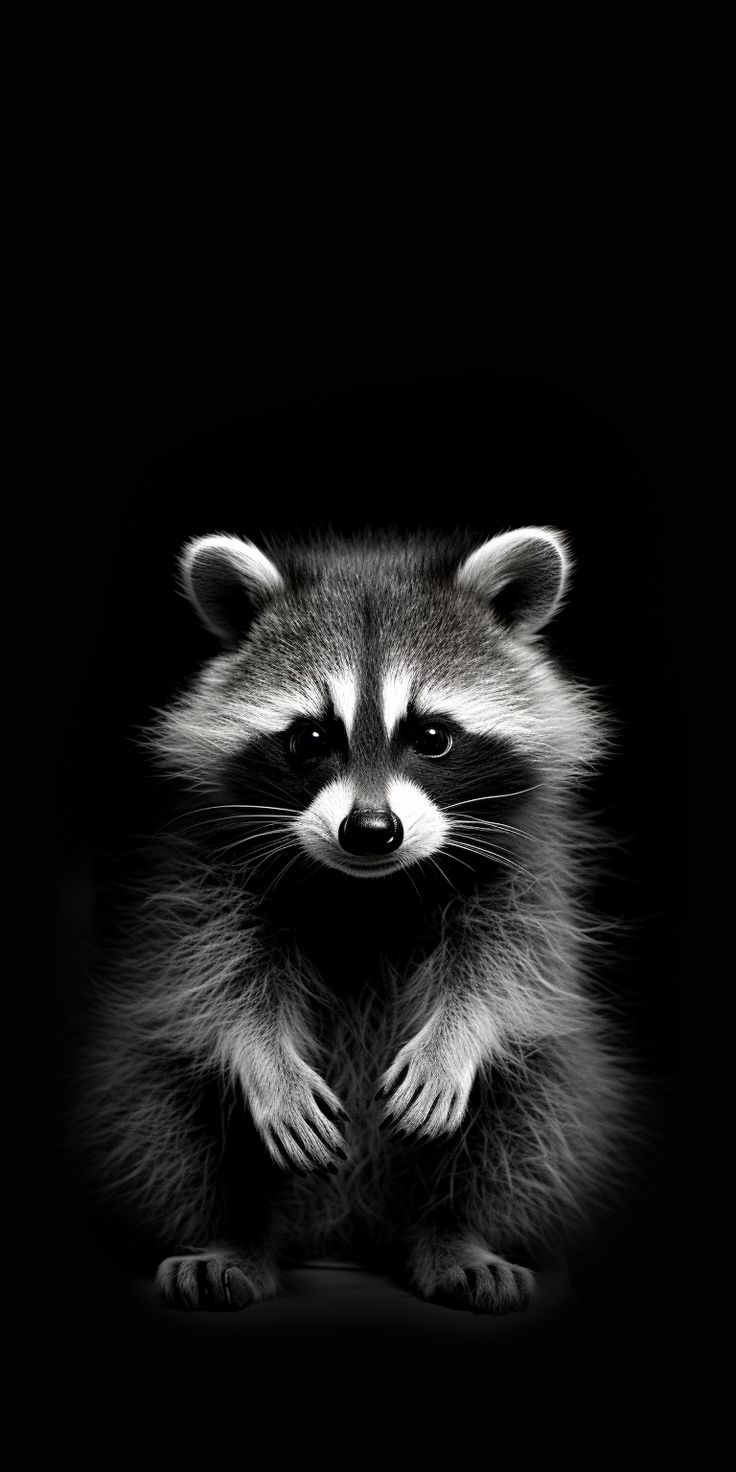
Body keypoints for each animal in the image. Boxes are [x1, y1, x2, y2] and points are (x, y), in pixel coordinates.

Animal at [82, 526, 633, 1315]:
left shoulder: (529, 862)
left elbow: (508, 969)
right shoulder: (209, 866)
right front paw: (263, 1057)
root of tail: (344, 1229)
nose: (371, 832)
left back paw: (455, 1235)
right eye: (311, 738)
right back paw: (235, 1237)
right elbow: (215, 979)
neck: (370, 889)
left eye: (431, 735)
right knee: (167, 1104)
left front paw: (457, 1036)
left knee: (533, 1102)